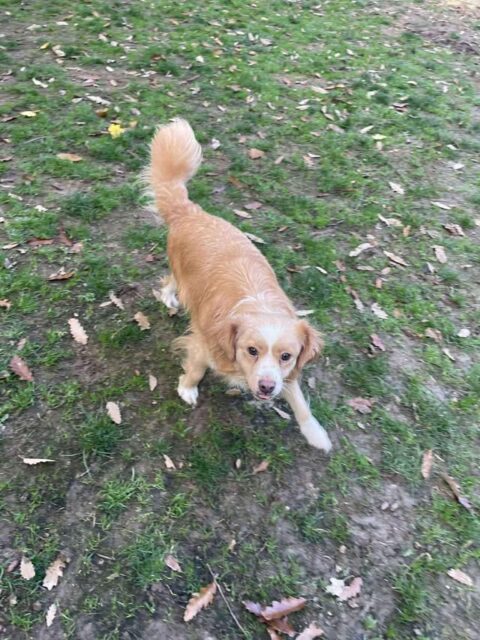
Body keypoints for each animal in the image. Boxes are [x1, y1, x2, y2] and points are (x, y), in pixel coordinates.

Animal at [146, 119, 332, 451]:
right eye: (251, 350)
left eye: (287, 356)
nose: (267, 388)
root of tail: (190, 211)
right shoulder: (202, 343)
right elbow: (196, 368)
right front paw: (188, 388)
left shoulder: (286, 373)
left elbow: (299, 399)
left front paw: (315, 433)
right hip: (181, 273)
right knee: (170, 280)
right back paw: (168, 297)